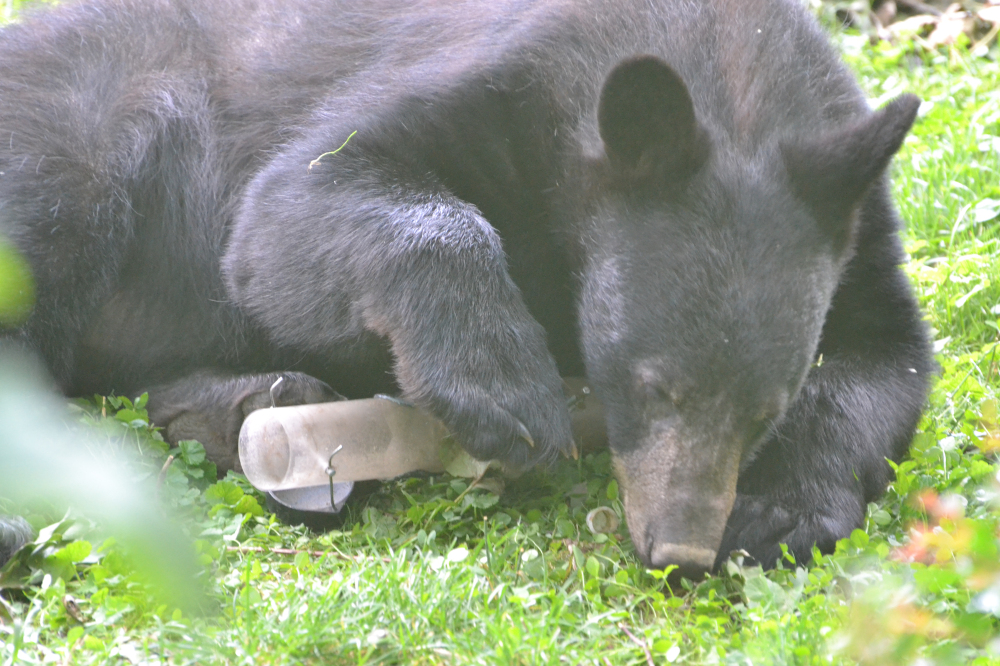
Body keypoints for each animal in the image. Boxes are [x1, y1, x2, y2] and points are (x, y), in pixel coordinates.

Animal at [0, 0, 933, 577]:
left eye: (765, 410)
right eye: (652, 386)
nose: (679, 549)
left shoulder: (857, 220)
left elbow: (888, 355)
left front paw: (779, 512)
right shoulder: (493, 81)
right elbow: (291, 206)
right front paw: (503, 392)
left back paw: (253, 407)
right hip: (78, 128)